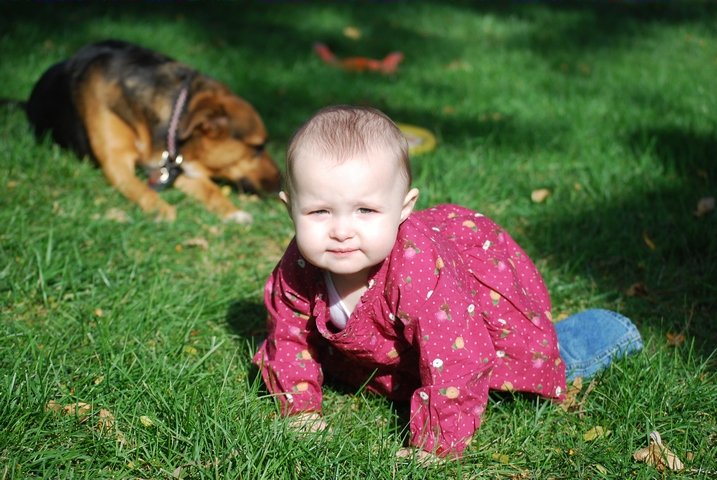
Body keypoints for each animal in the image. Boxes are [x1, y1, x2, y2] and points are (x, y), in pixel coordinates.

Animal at [25, 39, 280, 222]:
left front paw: (233, 212)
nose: (281, 184)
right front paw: (160, 209)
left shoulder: (169, 167)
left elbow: (212, 190)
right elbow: (141, 188)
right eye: (258, 147)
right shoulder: (116, 162)